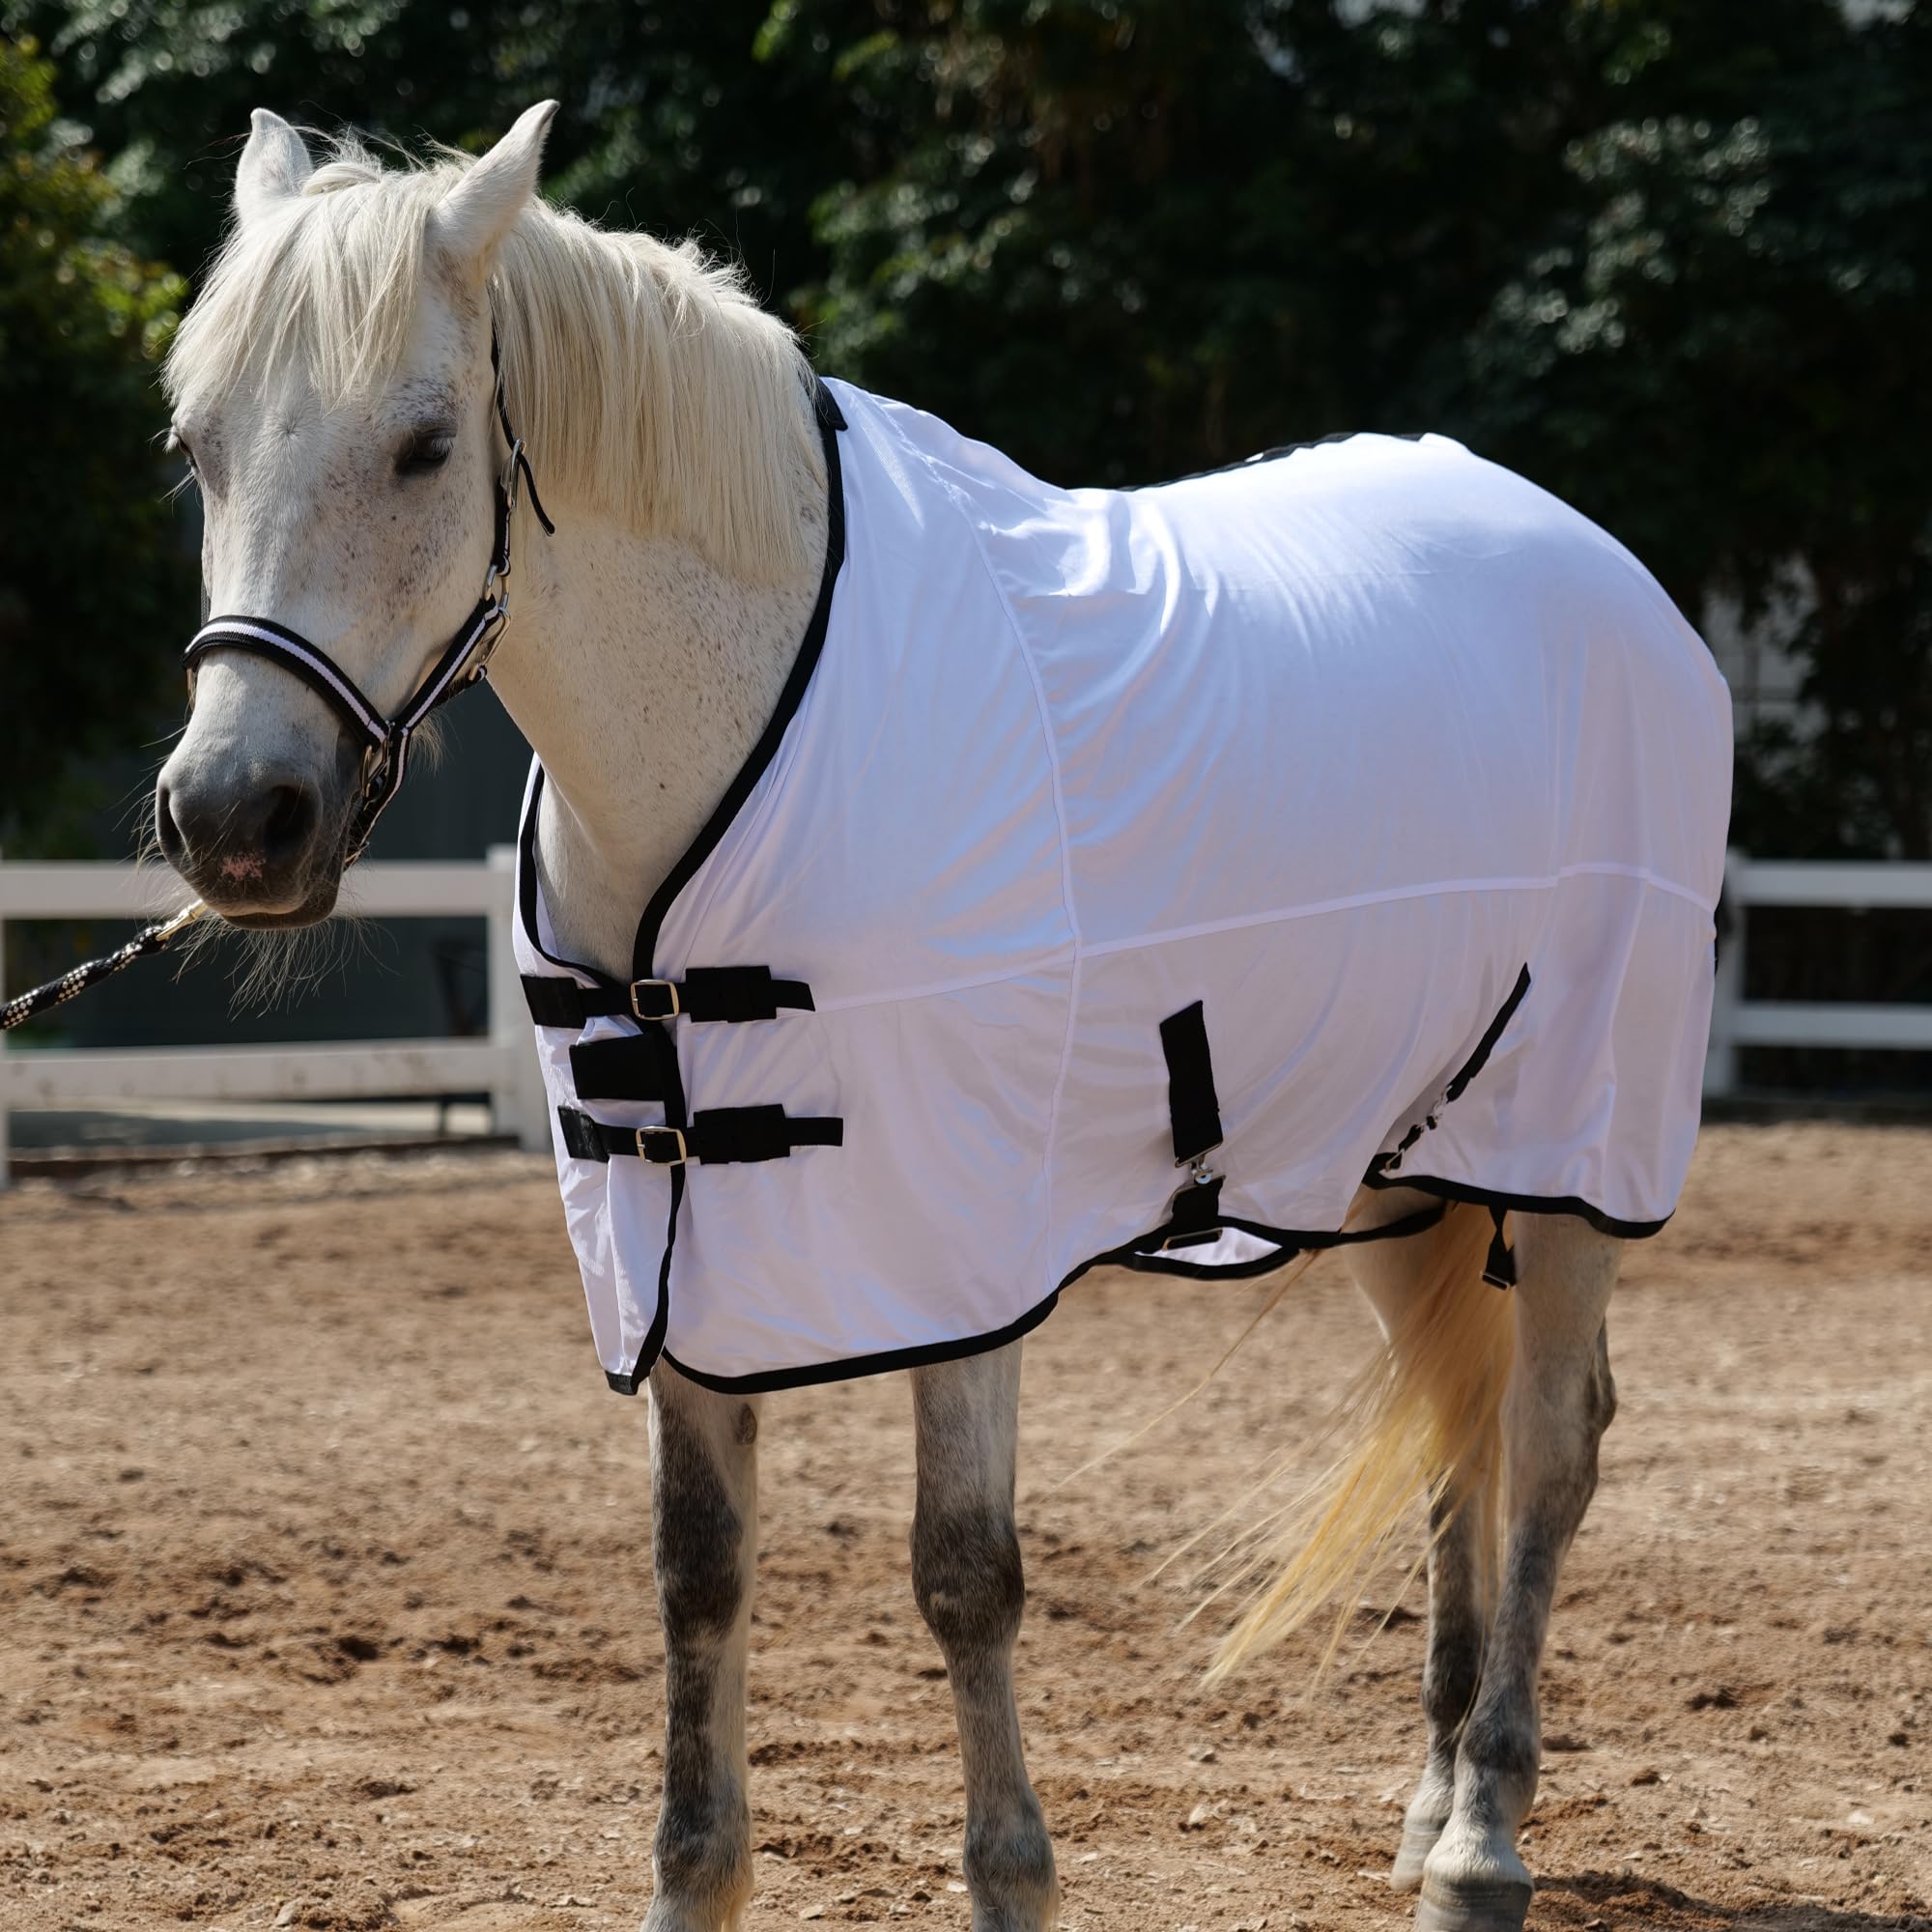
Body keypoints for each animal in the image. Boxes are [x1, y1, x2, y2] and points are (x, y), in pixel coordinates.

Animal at [153, 102, 1731, 1932]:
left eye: (420, 447)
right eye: (197, 447)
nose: (235, 821)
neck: (742, 737)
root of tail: (1611, 578)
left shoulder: (962, 1246)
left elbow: (965, 1575)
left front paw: (1012, 1879)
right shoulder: (682, 1238)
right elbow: (699, 1572)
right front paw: (695, 1884)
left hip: (1569, 1150)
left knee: (1546, 1447)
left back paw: (1482, 1842)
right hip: (1401, 1175)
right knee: (1454, 1446)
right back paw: (1428, 1810)